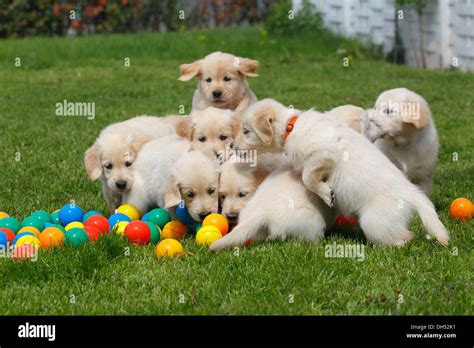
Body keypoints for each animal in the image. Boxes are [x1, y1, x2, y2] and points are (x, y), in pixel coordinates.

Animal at [235, 99, 450, 246]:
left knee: (403, 237)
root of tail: (411, 192)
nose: (232, 146)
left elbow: (307, 176)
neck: (292, 126)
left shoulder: (324, 153)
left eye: (246, 131)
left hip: (375, 221)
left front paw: (326, 194)